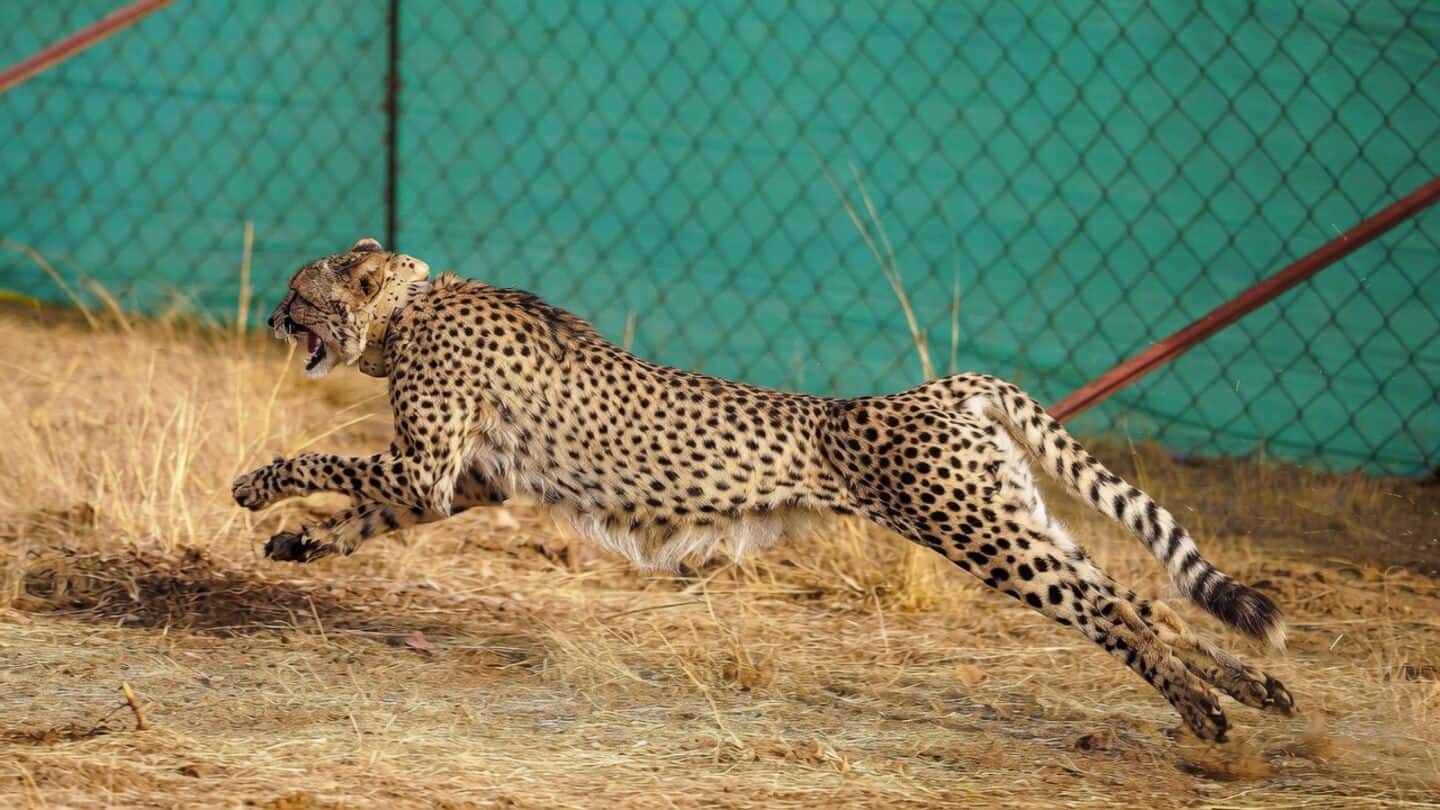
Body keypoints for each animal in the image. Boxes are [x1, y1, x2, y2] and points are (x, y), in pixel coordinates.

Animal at [233, 237, 1294, 741]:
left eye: (297, 291)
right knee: (1144, 600)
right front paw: (301, 542)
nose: (275, 319)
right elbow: (364, 509)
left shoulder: (429, 465)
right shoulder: (459, 483)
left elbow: (326, 462)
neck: (412, 306)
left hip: (981, 534)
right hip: (1013, 517)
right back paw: (1253, 687)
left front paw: (256, 485)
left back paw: (1204, 714)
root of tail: (942, 386)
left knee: (1112, 612)